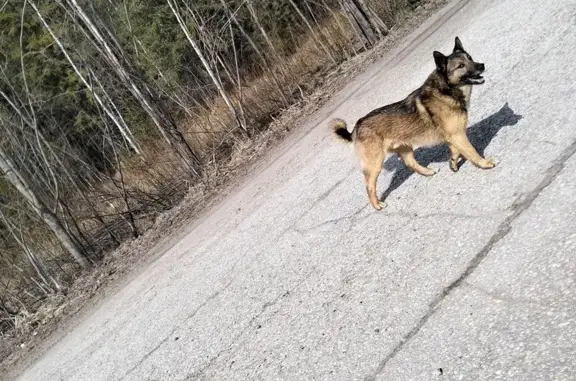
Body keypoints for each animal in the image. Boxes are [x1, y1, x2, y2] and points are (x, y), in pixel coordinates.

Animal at [330, 36, 498, 209]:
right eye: (461, 66)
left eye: (469, 58)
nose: (481, 65)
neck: (446, 90)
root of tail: (356, 128)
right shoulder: (458, 135)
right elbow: (471, 151)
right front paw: (485, 163)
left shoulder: (454, 136)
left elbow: (456, 151)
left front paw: (453, 163)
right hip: (375, 164)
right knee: (369, 185)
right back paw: (377, 205)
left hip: (405, 148)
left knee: (410, 163)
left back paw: (428, 172)